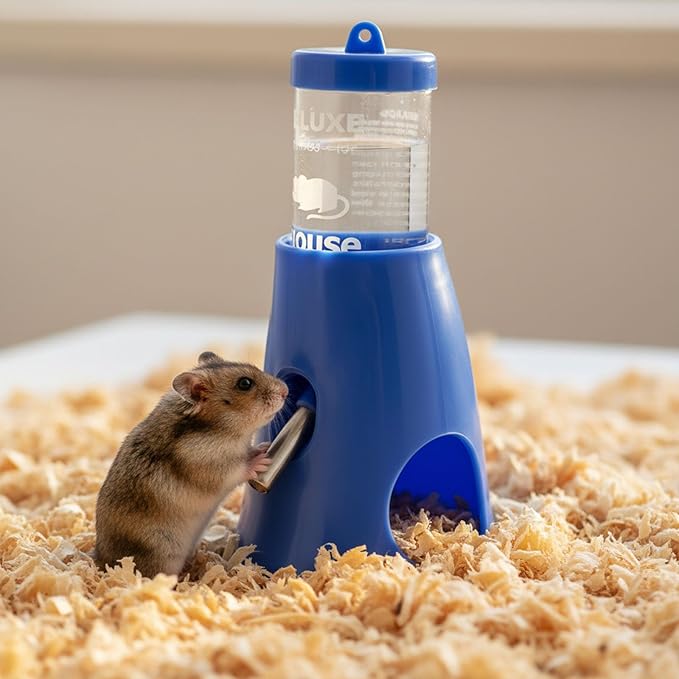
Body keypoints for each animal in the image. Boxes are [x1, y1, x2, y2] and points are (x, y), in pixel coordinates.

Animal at [94, 351, 288, 578]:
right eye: (245, 383)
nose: (285, 390)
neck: (220, 428)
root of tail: (101, 562)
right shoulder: (210, 466)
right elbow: (238, 468)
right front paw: (262, 459)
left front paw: (263, 447)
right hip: (162, 555)